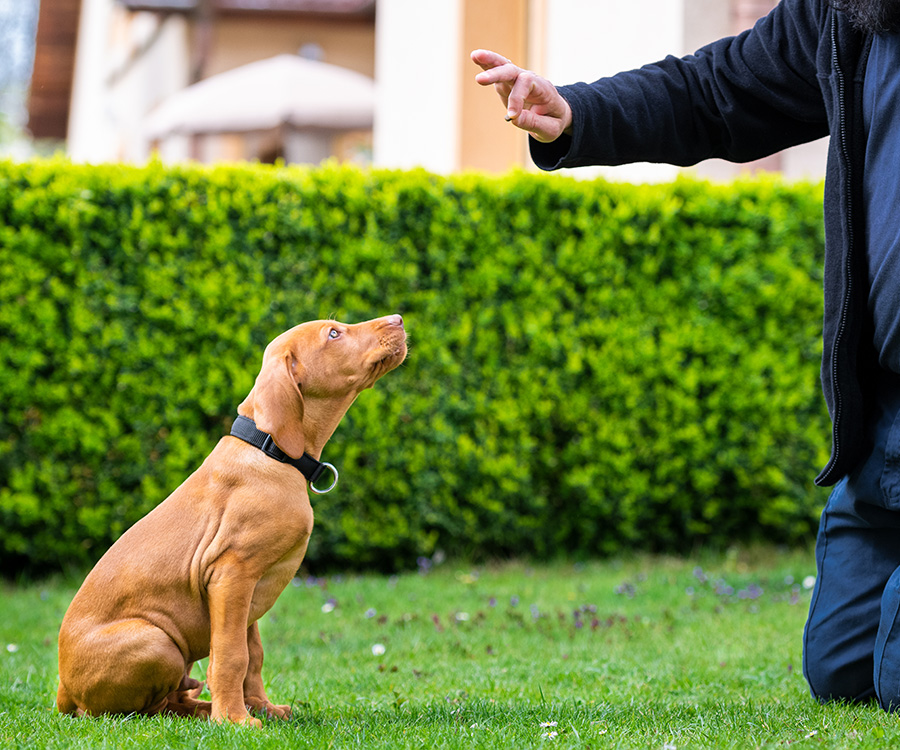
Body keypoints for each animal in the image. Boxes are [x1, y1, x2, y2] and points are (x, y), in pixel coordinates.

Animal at [57, 318, 408, 728]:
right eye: (333, 334)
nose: (398, 319)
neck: (271, 451)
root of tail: (63, 692)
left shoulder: (251, 587)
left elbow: (252, 656)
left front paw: (261, 707)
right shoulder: (231, 574)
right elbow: (231, 655)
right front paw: (235, 720)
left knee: (171, 700)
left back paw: (202, 706)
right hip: (155, 641)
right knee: (141, 711)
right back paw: (206, 712)